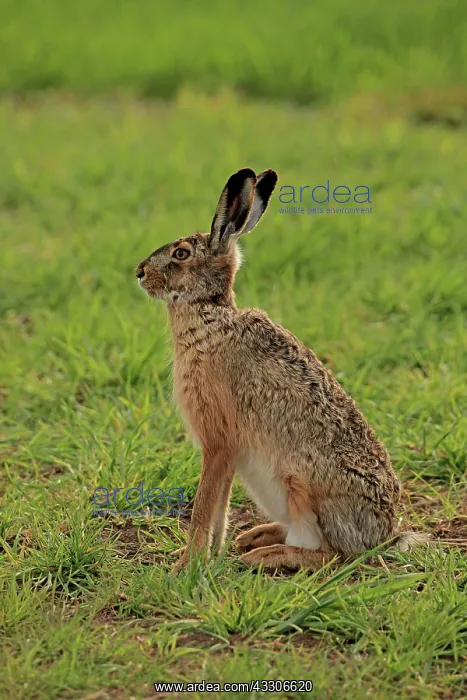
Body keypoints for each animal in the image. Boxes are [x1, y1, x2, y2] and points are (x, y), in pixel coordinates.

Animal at [136, 168, 428, 571]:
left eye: (181, 253)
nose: (139, 272)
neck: (212, 321)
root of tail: (384, 535)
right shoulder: (229, 453)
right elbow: (220, 506)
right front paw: (209, 554)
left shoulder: (218, 440)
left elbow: (204, 505)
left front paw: (186, 566)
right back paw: (254, 537)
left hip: (301, 484)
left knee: (331, 556)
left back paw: (265, 554)